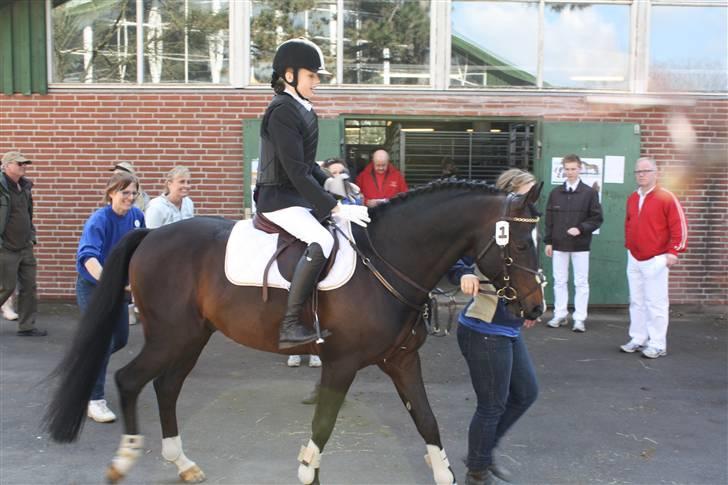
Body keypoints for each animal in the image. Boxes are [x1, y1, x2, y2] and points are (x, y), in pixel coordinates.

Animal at [42, 179, 544, 484]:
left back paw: (182, 463)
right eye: (521, 245)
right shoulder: (342, 363)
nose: (536, 307)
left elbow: (427, 420)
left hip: (193, 337)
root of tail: (150, 234)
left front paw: (444, 473)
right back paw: (124, 459)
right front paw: (307, 471)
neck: (387, 260)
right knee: (129, 380)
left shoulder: (402, 360)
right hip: (171, 336)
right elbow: (323, 425)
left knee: (166, 387)